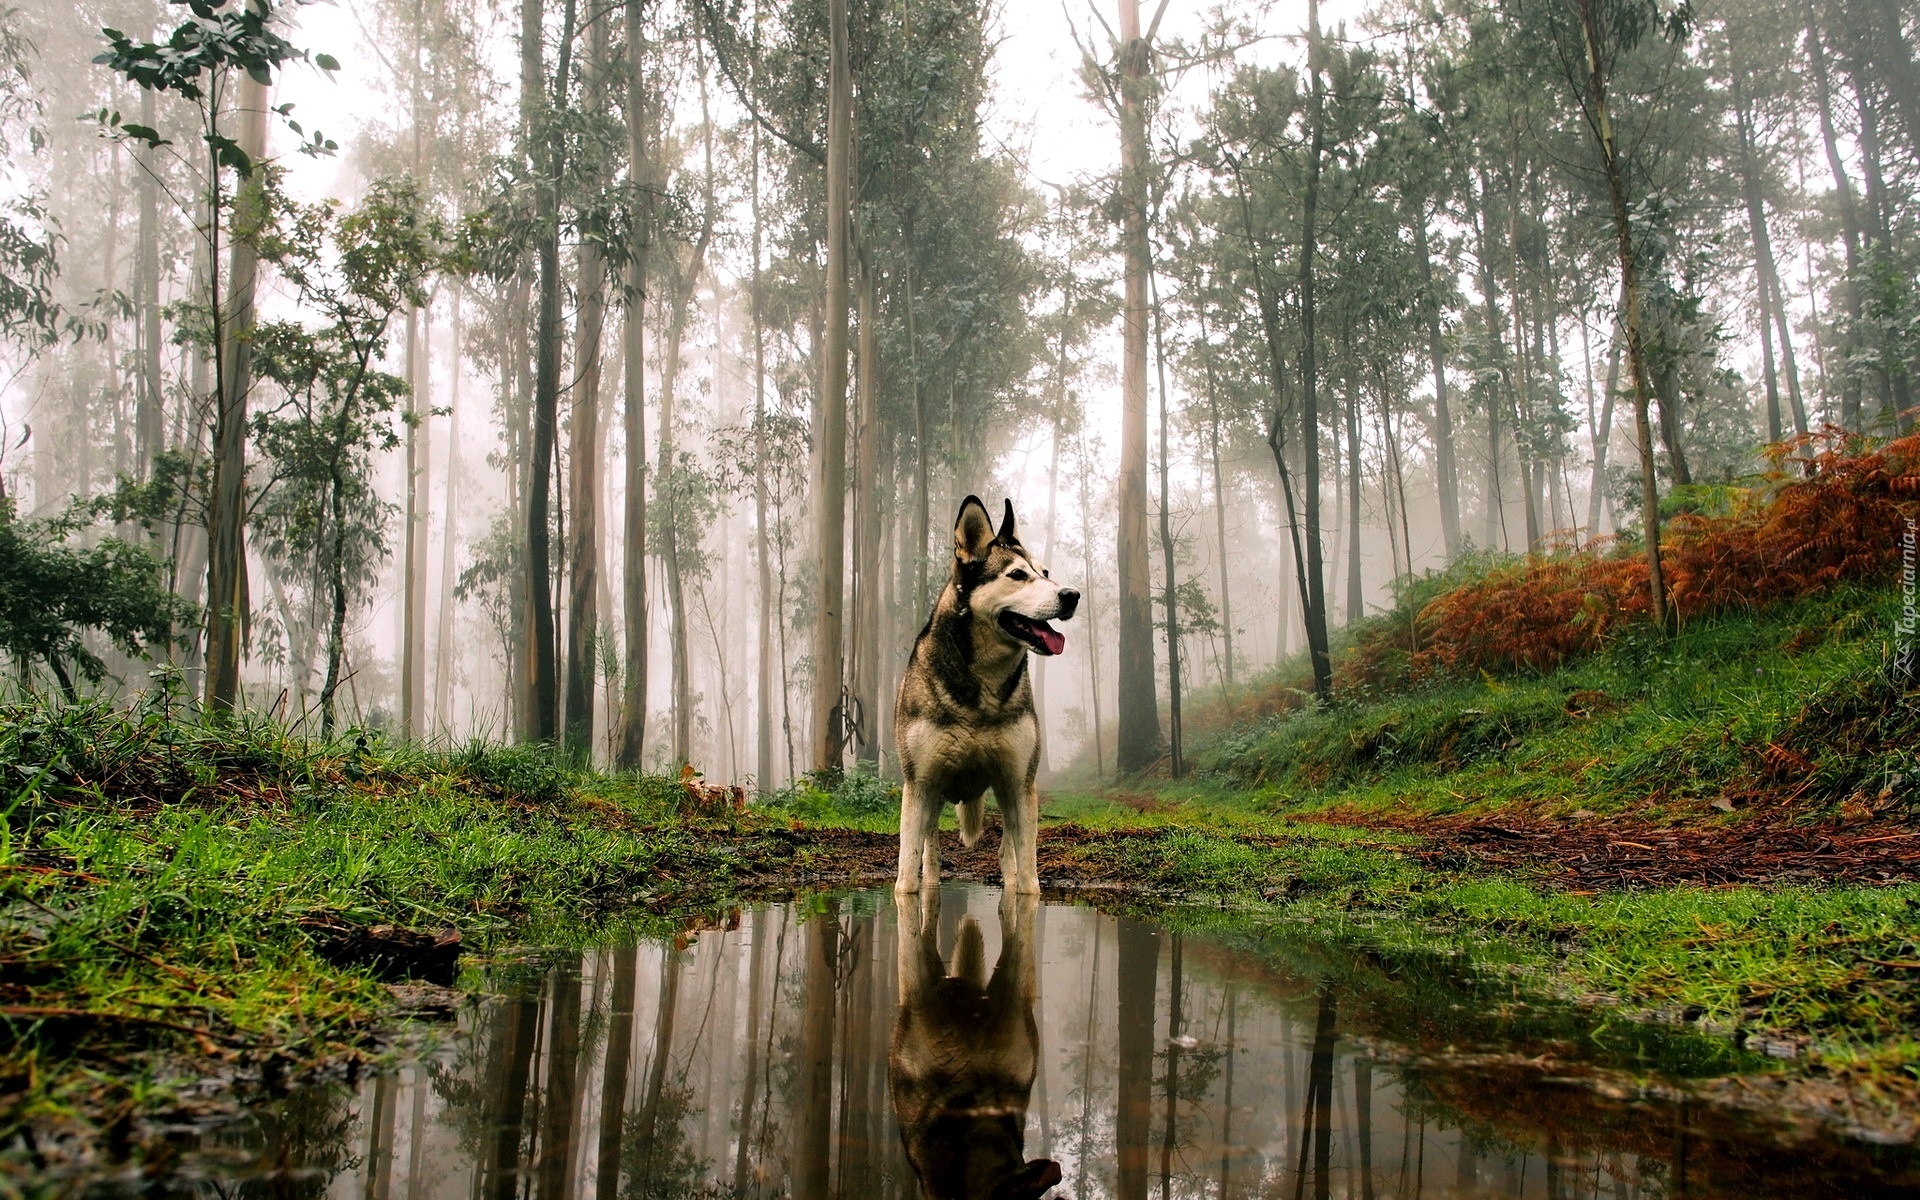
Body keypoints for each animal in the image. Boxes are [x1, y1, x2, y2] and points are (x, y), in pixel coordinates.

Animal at [894, 491, 1082, 894]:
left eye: (1045, 573)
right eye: (1017, 575)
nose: (1072, 595)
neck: (982, 687)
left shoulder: (1019, 785)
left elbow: (1028, 879)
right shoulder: (920, 786)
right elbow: (906, 877)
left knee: (1007, 852)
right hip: (932, 799)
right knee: (930, 854)